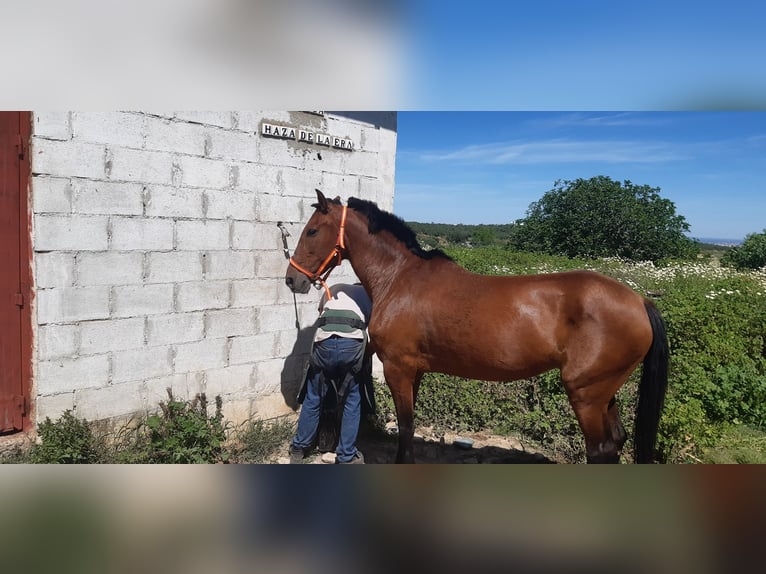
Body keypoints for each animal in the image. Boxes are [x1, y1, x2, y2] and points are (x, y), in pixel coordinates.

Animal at [284, 191, 668, 466]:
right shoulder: (415, 371)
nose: (292, 280)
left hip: (586, 394)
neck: (400, 279)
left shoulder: (398, 368)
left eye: (313, 230)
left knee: (600, 449)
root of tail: (639, 301)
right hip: (603, 391)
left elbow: (406, 426)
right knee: (615, 441)